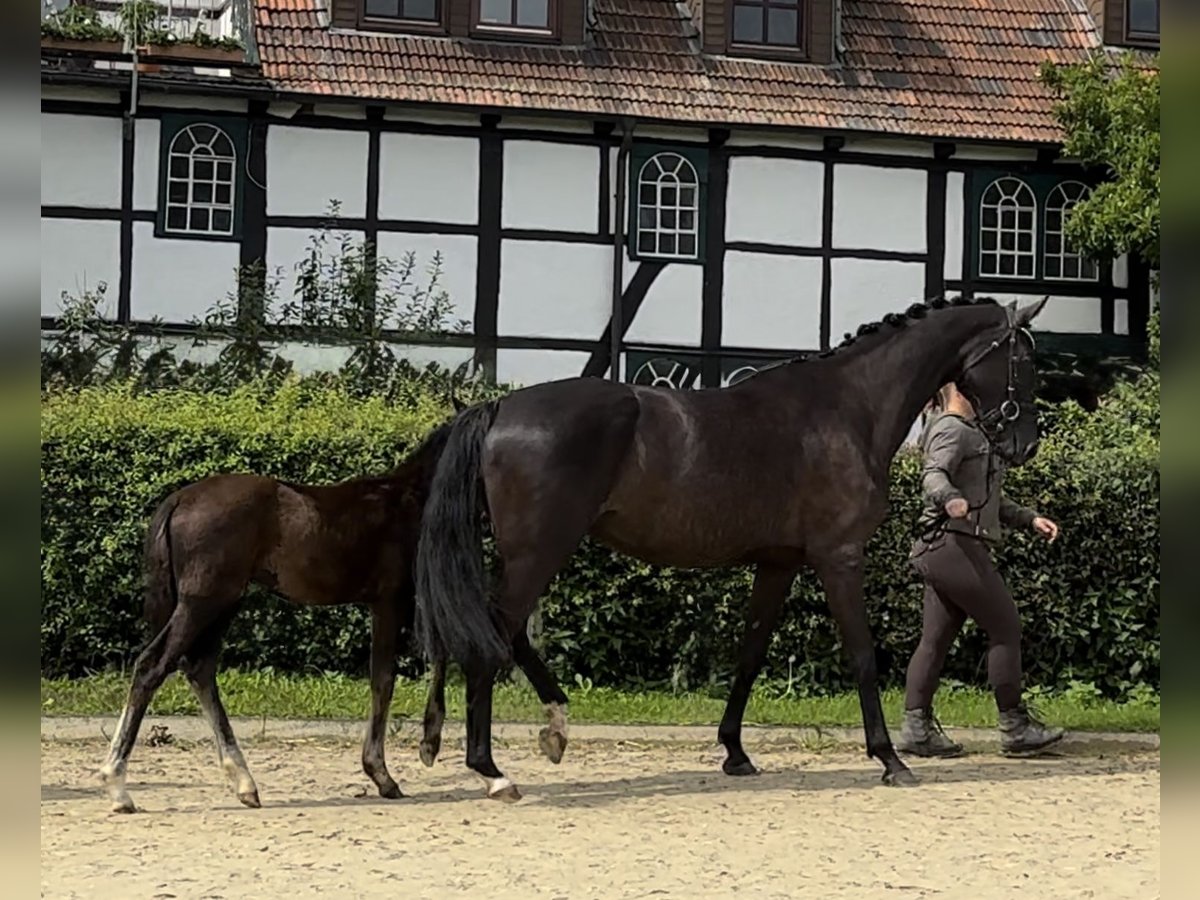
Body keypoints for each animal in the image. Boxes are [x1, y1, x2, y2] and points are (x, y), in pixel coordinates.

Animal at [97, 402, 571, 814]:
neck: (409, 500)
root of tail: (178, 500)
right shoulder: (390, 602)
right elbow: (384, 680)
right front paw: (384, 774)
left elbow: (434, 657)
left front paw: (429, 743)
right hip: (202, 602)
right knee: (153, 665)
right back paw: (118, 786)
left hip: (223, 603)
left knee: (199, 669)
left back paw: (244, 783)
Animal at [413, 294, 1050, 801]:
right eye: (1023, 359)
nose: (1024, 443)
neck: (848, 408)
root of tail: (499, 408)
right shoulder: (839, 557)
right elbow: (863, 655)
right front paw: (889, 758)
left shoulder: (779, 563)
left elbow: (750, 653)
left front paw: (736, 753)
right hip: (539, 550)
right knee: (492, 636)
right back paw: (491, 768)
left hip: (534, 552)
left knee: (503, 633)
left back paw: (531, 731)